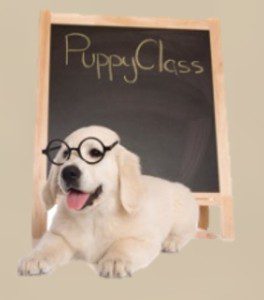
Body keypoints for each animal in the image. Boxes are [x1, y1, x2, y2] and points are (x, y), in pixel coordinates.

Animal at [18, 125, 198, 278]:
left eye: (95, 152)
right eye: (64, 154)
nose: (68, 172)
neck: (94, 215)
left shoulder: (144, 240)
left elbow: (124, 244)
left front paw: (115, 260)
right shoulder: (58, 235)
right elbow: (49, 245)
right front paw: (35, 258)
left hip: (183, 208)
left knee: (188, 231)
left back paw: (172, 241)